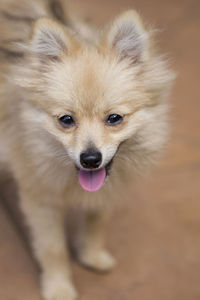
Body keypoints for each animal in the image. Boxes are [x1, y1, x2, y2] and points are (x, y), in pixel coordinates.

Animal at [0, 1, 174, 298]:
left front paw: (91, 255)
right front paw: (58, 287)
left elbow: (96, 222)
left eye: (114, 118)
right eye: (66, 120)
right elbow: (53, 248)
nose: (91, 158)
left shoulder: (106, 191)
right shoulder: (41, 200)